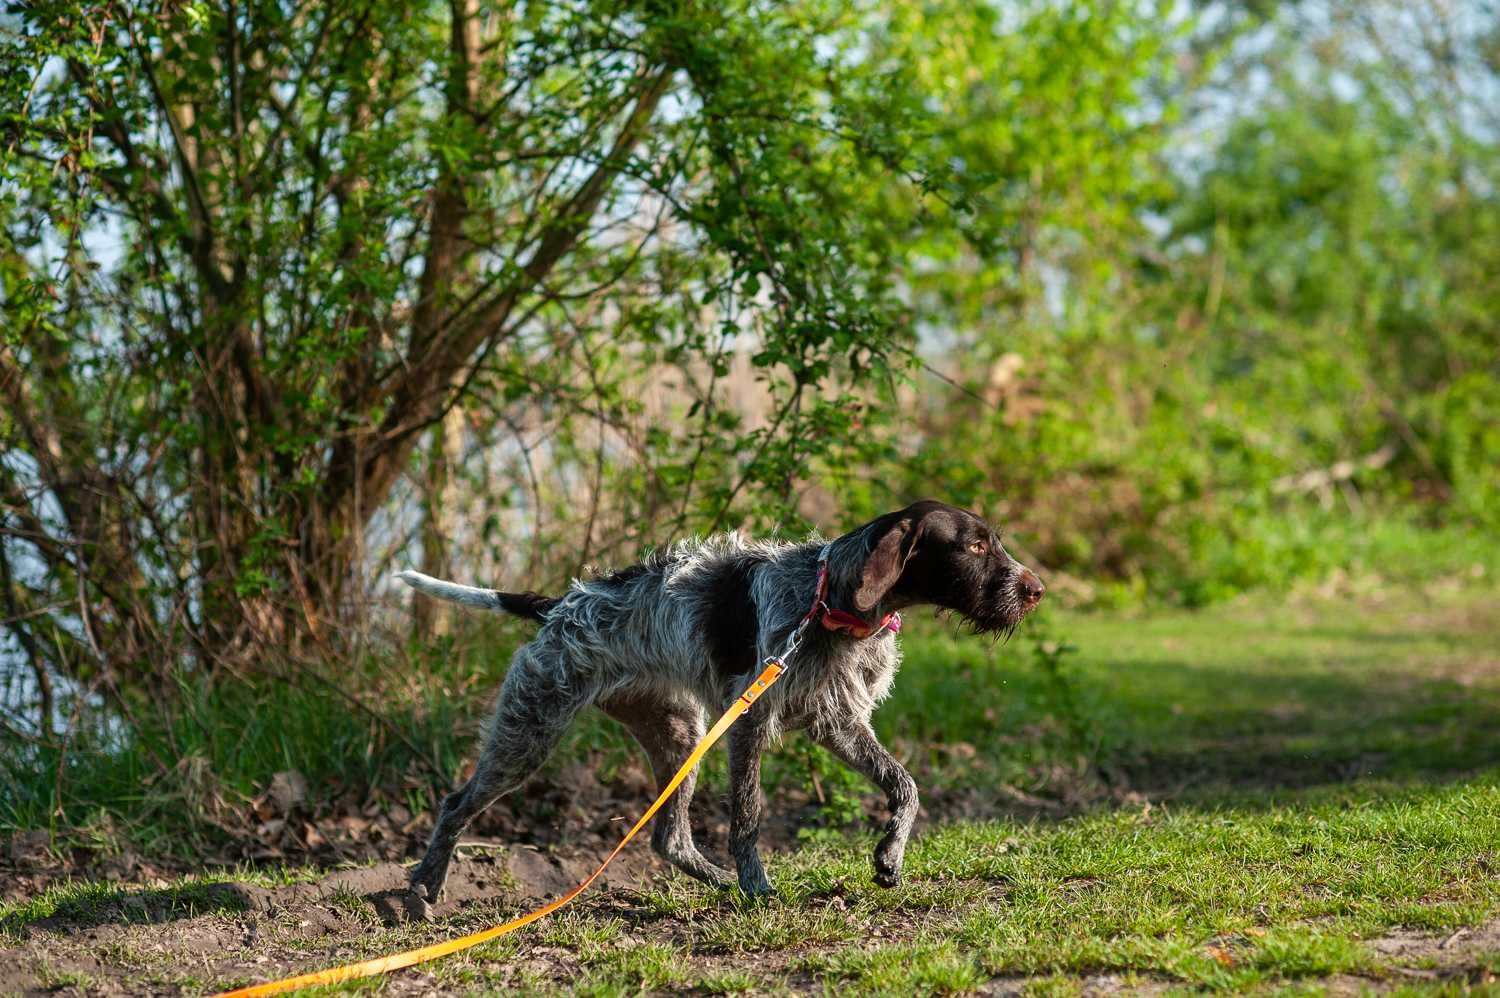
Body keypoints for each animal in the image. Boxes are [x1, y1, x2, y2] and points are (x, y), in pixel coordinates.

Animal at [402, 495, 1044, 906]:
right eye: (975, 545)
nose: (1037, 590)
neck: (829, 604)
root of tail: (560, 604)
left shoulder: (838, 722)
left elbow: (906, 785)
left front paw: (889, 855)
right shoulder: (750, 721)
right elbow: (749, 817)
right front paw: (757, 885)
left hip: (679, 731)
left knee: (668, 838)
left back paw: (716, 881)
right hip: (532, 727)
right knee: (456, 802)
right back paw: (425, 886)